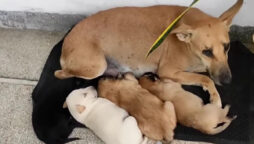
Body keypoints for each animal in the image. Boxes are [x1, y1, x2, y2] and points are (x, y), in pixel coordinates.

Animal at [54, 0, 243, 108]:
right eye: (207, 51)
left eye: (227, 47)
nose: (228, 81)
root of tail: (67, 40)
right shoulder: (168, 71)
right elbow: (206, 78)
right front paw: (215, 97)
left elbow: (205, 74)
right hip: (97, 66)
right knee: (60, 73)